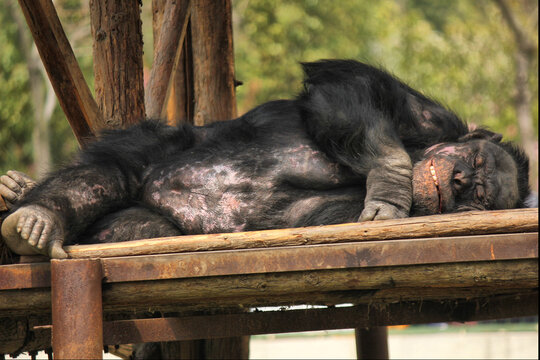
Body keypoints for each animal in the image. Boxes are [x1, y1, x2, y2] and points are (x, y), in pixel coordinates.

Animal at [0, 61, 528, 258]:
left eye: (482, 195)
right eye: (476, 162)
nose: (460, 181)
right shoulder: (434, 121)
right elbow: (348, 83)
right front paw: (391, 184)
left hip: (146, 222)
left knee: (131, 221)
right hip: (156, 147)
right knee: (107, 171)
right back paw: (34, 216)